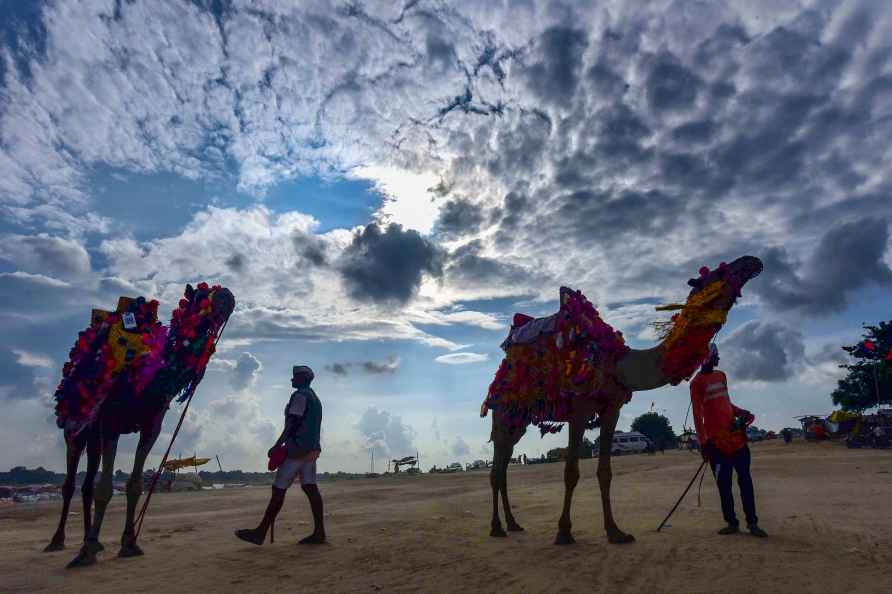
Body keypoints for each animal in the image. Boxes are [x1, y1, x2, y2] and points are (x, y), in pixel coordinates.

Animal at [43, 280, 235, 568]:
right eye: (201, 293)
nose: (227, 296)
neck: (146, 375)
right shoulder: (111, 421)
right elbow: (105, 487)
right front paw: (88, 550)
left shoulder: (151, 426)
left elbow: (134, 485)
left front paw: (129, 543)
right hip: (73, 429)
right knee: (70, 483)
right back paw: (59, 541)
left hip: (93, 436)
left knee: (86, 484)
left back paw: (89, 537)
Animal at [480, 254, 760, 540]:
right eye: (718, 273)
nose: (753, 262)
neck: (616, 364)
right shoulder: (579, 410)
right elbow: (571, 472)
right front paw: (564, 533)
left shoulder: (611, 409)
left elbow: (605, 472)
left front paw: (615, 532)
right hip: (504, 412)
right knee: (496, 468)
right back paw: (496, 527)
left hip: (519, 419)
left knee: (503, 466)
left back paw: (513, 524)